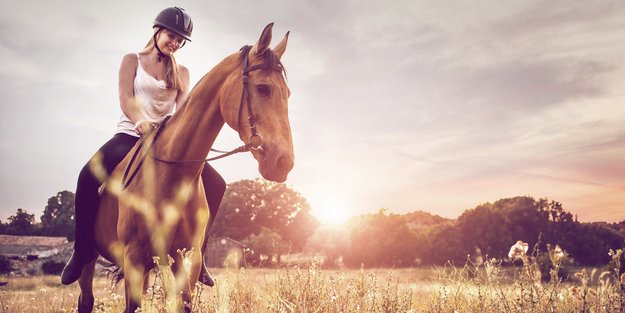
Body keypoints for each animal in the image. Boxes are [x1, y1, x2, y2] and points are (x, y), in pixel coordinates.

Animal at [74, 22, 294, 312]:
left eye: (287, 93)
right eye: (263, 88)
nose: (284, 162)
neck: (169, 176)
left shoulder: (187, 259)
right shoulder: (133, 257)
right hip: (94, 260)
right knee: (86, 298)